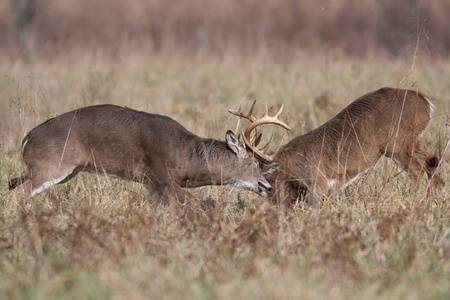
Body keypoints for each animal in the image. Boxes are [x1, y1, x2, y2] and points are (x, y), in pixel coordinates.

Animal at [7, 104, 284, 203]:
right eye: (254, 163)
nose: (269, 187)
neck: (186, 156)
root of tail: (26, 139)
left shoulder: (154, 185)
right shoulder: (158, 177)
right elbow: (194, 204)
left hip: (58, 170)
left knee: (11, 184)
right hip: (52, 166)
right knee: (17, 193)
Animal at [230, 87, 444, 204]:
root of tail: (426, 102)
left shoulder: (319, 183)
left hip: (398, 143)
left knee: (417, 169)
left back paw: (411, 201)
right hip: (411, 142)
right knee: (432, 160)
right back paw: (430, 199)